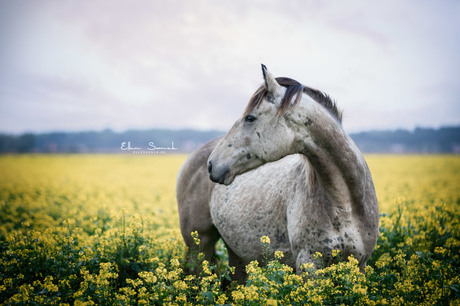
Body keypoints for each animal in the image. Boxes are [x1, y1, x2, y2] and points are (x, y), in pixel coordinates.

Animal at [176, 65, 378, 282]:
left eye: (250, 118)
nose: (211, 165)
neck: (344, 205)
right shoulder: (308, 265)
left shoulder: (360, 264)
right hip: (199, 246)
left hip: (237, 254)